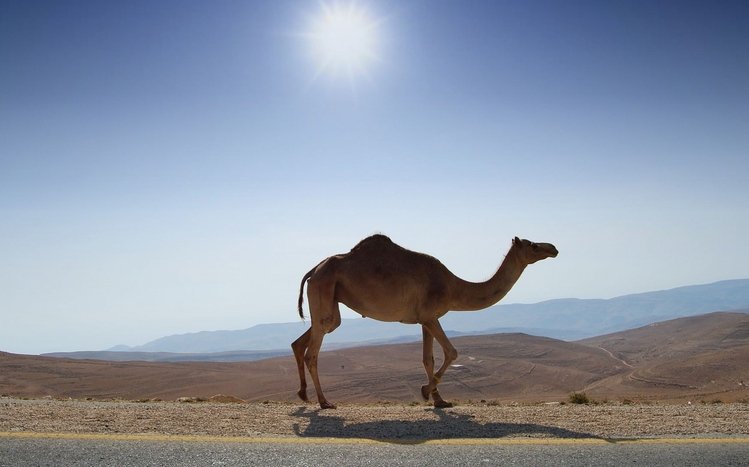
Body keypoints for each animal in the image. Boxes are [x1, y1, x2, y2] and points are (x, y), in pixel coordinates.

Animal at [292, 234, 558, 409]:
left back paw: (303, 394)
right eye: (534, 246)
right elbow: (452, 352)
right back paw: (324, 402)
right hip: (325, 288)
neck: (453, 287)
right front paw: (426, 391)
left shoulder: (424, 320)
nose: (553, 248)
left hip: (328, 301)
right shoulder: (430, 315)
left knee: (305, 338)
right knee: (312, 351)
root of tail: (313, 270)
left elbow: (428, 359)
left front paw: (439, 399)